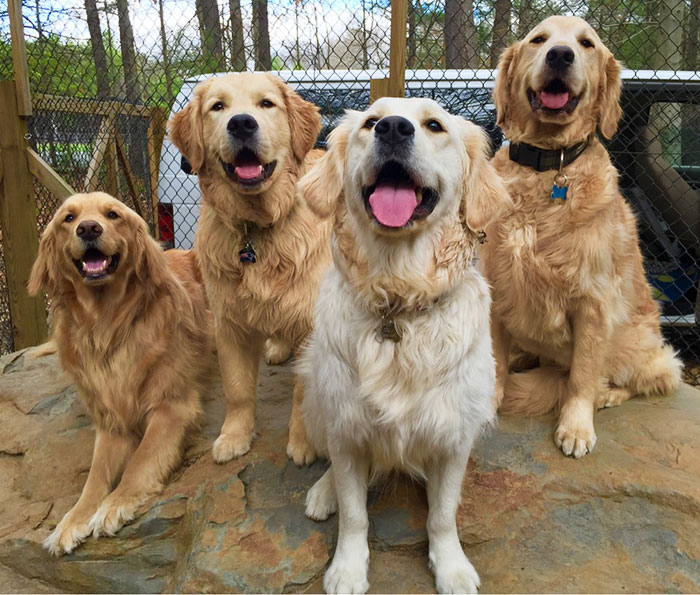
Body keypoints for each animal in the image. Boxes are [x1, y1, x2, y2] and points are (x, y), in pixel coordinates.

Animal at [28, 193, 213, 556]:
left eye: (112, 215)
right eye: (68, 218)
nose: (88, 228)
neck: (106, 324)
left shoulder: (173, 408)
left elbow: (141, 460)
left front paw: (115, 503)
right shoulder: (111, 421)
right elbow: (95, 477)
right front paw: (72, 520)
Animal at [296, 99, 508, 595]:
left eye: (435, 125)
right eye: (371, 122)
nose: (393, 128)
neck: (397, 299)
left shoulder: (453, 436)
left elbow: (443, 516)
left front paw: (451, 568)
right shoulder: (347, 429)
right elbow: (354, 515)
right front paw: (347, 569)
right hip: (317, 398)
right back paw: (323, 491)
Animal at [484, 15, 680, 460]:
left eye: (586, 44)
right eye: (538, 40)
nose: (560, 55)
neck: (546, 165)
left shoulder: (593, 302)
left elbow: (582, 374)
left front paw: (576, 426)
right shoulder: (495, 287)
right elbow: (495, 361)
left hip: (638, 342)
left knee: (649, 376)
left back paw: (606, 395)